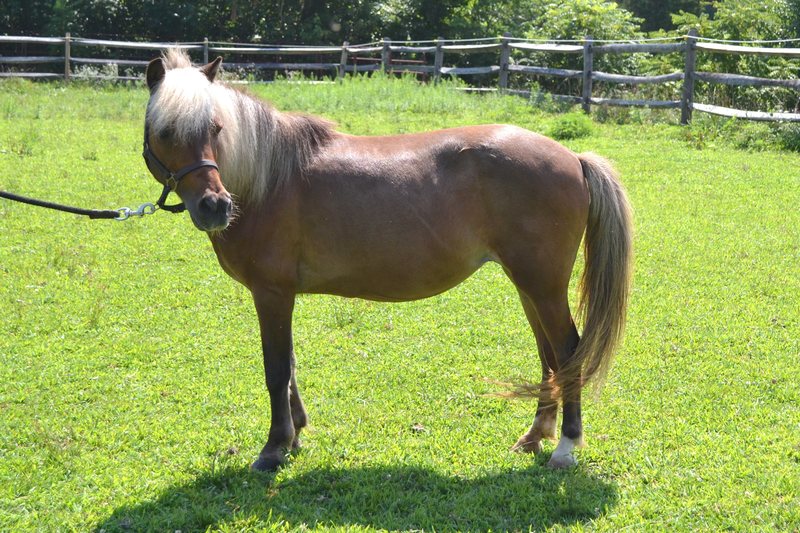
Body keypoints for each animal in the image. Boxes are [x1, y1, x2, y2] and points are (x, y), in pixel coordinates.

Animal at [142, 51, 632, 470]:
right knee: (549, 354)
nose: (215, 207)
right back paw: (535, 436)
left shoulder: (272, 293)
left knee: (568, 351)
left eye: (216, 129)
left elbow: (276, 370)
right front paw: (296, 434)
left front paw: (275, 447)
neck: (268, 179)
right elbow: (290, 366)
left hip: (542, 286)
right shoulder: (280, 297)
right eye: (164, 132)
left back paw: (565, 446)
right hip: (530, 286)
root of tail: (573, 157)